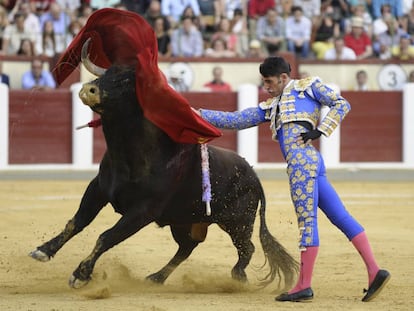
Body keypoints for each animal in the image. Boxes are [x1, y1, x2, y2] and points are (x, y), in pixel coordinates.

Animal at [30, 65, 300, 290]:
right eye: (106, 73)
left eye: (126, 82)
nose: (88, 89)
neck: (131, 154)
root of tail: (254, 176)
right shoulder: (98, 189)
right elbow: (77, 222)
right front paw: (44, 250)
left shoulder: (142, 211)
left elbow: (106, 236)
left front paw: (81, 275)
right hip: (183, 220)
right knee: (187, 247)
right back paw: (156, 277)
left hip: (237, 221)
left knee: (247, 248)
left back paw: (237, 278)